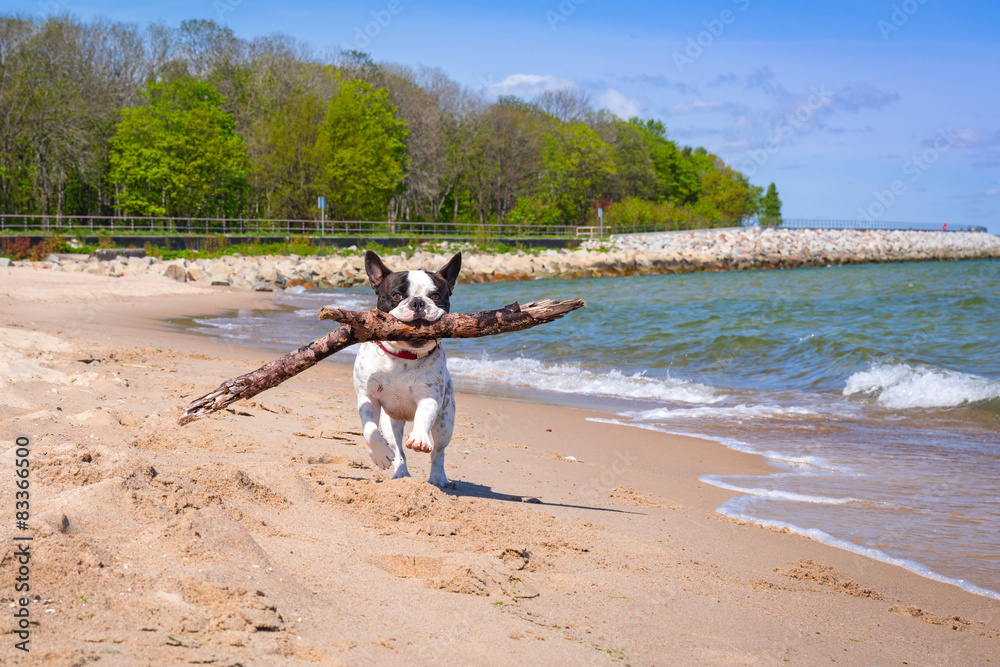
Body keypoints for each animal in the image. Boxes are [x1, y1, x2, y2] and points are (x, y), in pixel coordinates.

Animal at [354, 250, 462, 486]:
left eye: (436, 296)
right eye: (396, 295)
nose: (418, 303)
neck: (402, 355)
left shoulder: (430, 396)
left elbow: (424, 416)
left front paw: (419, 437)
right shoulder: (367, 397)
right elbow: (369, 428)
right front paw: (379, 454)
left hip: (446, 421)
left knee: (438, 451)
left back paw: (438, 477)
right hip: (391, 421)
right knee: (398, 450)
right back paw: (400, 473)